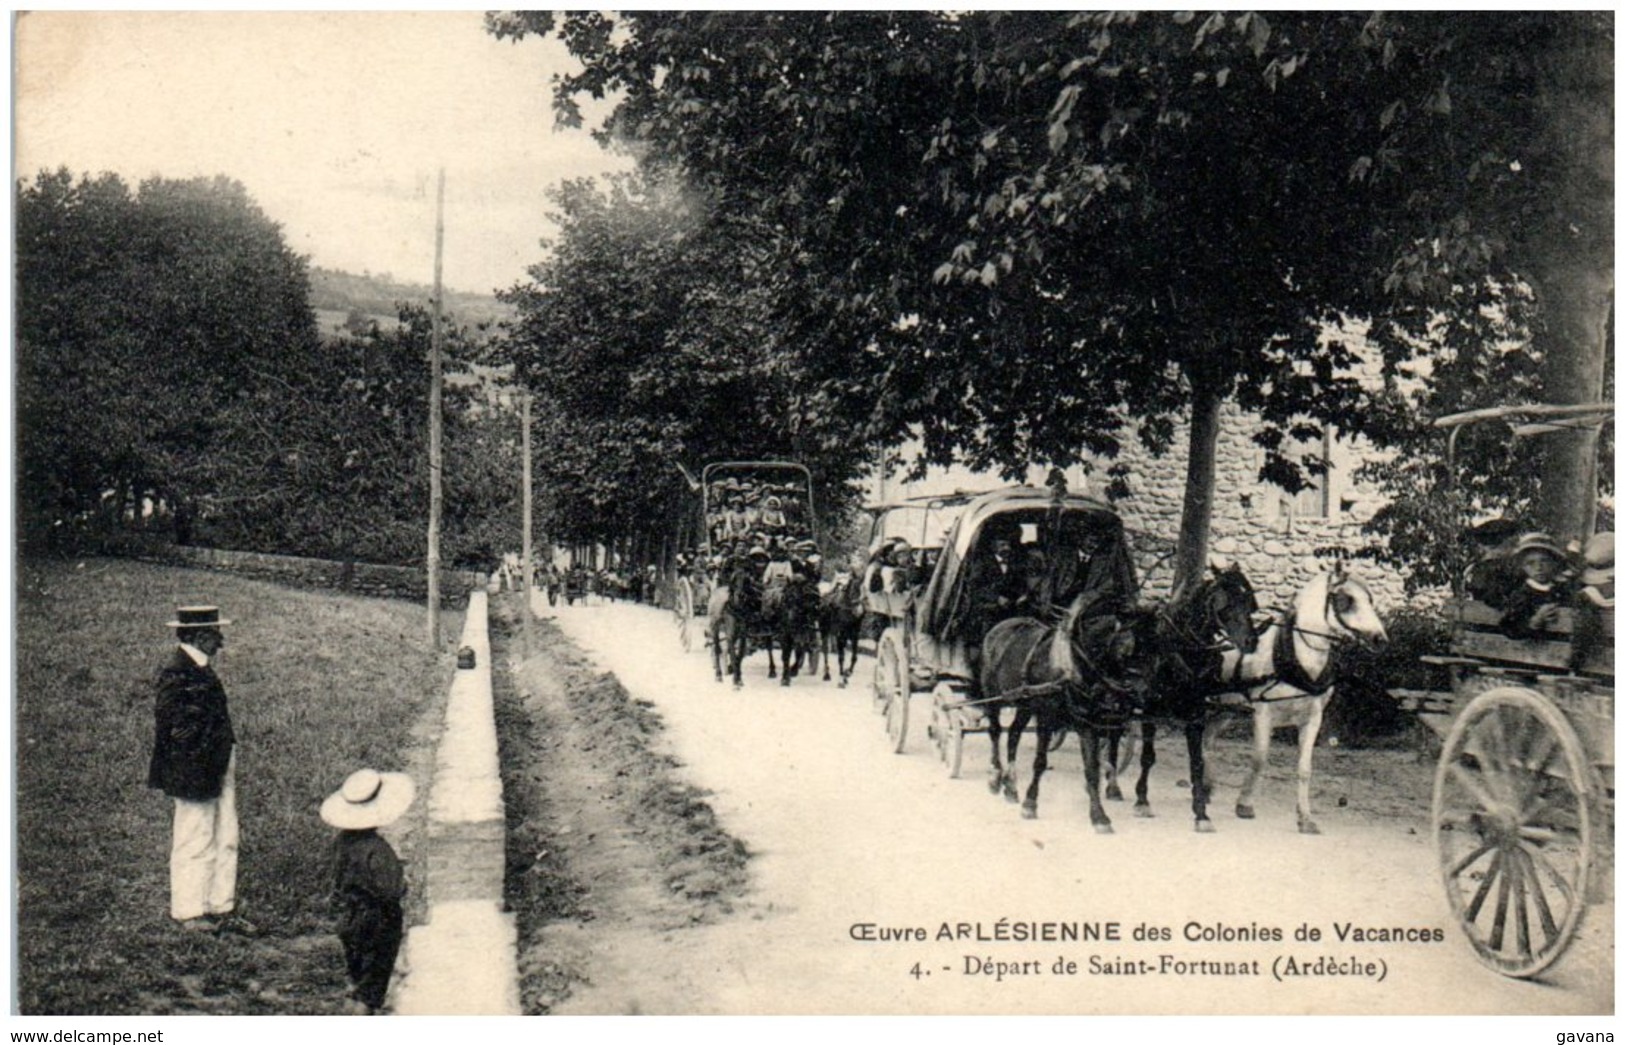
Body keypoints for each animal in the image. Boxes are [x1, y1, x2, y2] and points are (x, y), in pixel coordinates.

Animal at [1222, 565, 1384, 832]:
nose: (1380, 639)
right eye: (1346, 599)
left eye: (1370, 600)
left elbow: (1305, 769)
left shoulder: (1312, 719)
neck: (1296, 655)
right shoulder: (1263, 714)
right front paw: (1244, 804)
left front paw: (1305, 818)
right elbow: (1259, 760)